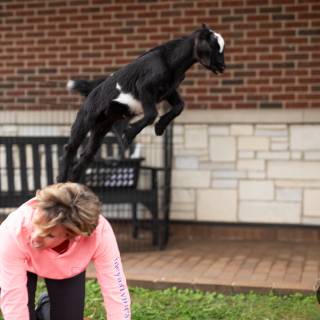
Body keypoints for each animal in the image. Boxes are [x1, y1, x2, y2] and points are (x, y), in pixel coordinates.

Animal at [58, 25, 226, 182]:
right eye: (214, 47)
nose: (223, 66)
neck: (170, 58)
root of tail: (92, 91)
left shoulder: (169, 91)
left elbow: (179, 106)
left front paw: (159, 127)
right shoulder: (144, 87)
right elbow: (151, 114)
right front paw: (129, 134)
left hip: (101, 128)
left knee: (86, 156)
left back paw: (72, 184)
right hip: (85, 120)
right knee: (70, 149)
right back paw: (60, 180)